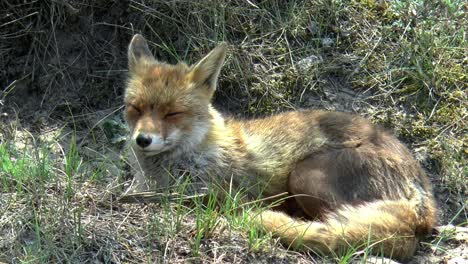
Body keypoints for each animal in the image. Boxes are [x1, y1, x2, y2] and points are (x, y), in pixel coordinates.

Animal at [124, 34, 438, 260]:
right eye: (135, 108)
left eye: (172, 113)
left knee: (338, 229)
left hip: (304, 176)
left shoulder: (212, 193)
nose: (142, 140)